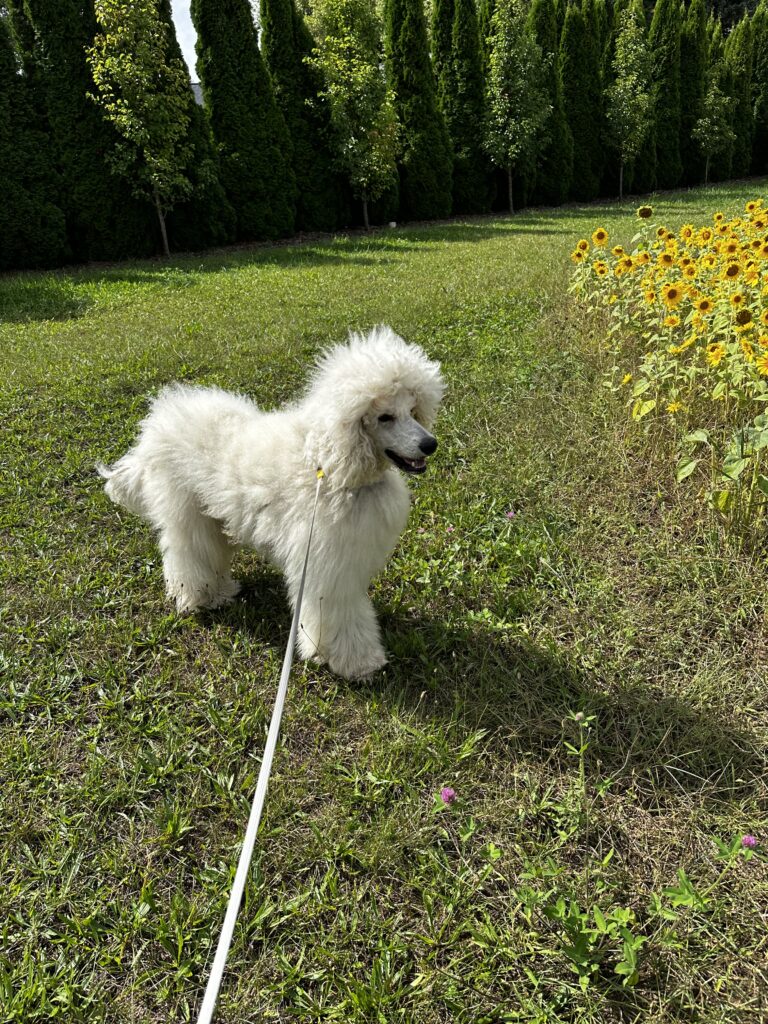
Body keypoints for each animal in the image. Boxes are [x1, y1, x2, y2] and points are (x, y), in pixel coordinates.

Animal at [98, 326, 444, 679]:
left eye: (412, 410)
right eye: (385, 417)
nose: (430, 444)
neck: (328, 465)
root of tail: (156, 428)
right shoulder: (327, 567)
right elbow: (341, 616)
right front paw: (356, 662)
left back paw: (219, 590)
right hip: (186, 514)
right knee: (187, 554)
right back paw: (198, 597)